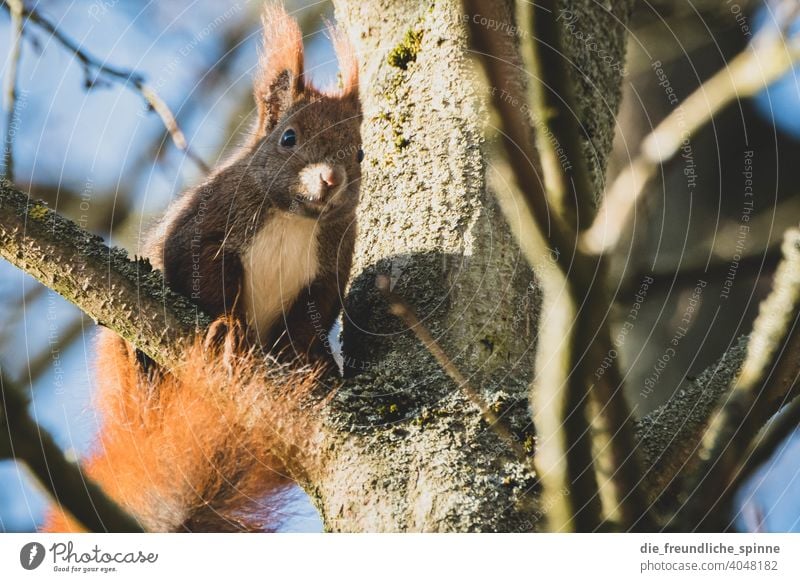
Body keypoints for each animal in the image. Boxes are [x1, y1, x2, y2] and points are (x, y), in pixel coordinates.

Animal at [45, 3, 364, 532]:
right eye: (288, 137)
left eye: (359, 152)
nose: (330, 179)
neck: (294, 218)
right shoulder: (204, 231)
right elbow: (204, 277)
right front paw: (229, 328)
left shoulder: (328, 271)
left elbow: (311, 314)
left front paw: (311, 358)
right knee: (140, 393)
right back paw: (141, 365)